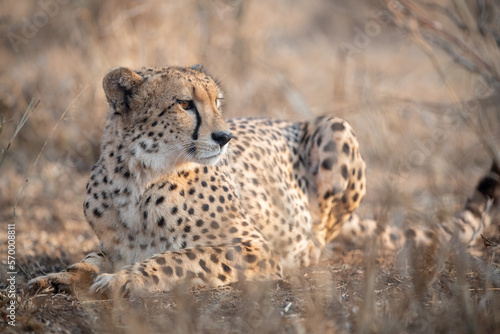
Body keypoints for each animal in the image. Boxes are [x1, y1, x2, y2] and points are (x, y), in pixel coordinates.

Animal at [30, 64, 500, 298]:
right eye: (185, 104)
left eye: (217, 101)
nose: (224, 136)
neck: (138, 176)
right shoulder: (115, 244)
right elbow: (90, 258)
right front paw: (60, 277)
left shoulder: (252, 247)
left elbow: (178, 258)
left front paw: (125, 281)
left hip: (334, 127)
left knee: (323, 233)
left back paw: (305, 250)